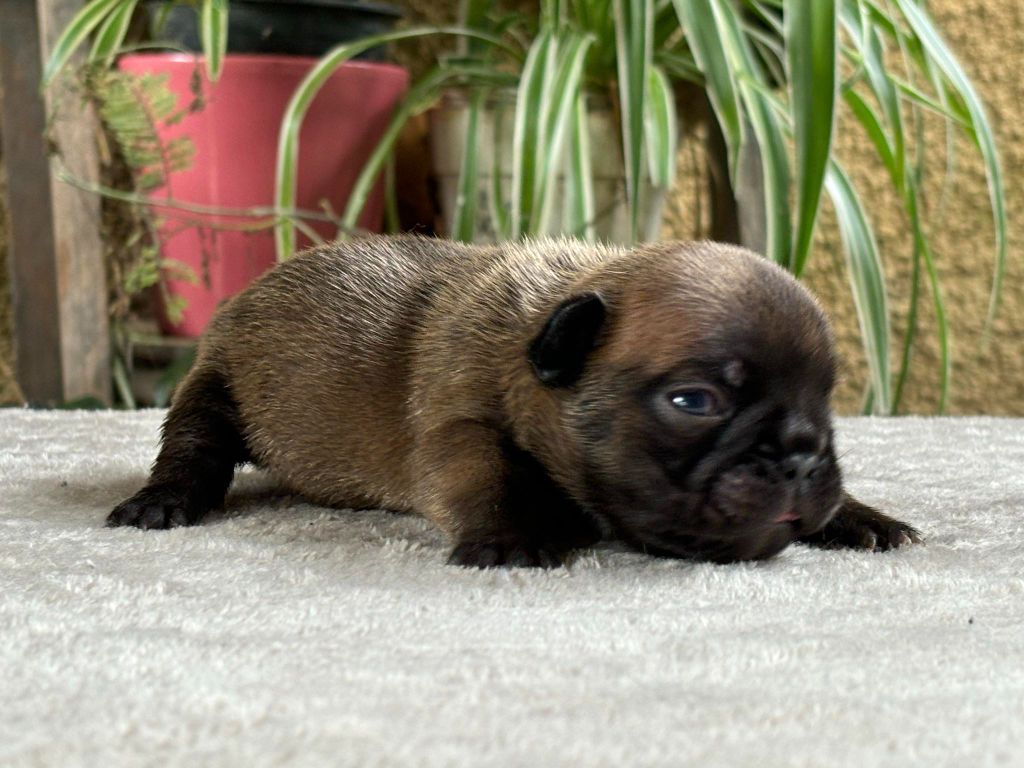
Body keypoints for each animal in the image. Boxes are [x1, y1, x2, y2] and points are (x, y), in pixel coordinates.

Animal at [108, 237, 917, 569]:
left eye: (824, 400)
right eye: (695, 400)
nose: (801, 454)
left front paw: (859, 516)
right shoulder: (460, 425)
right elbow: (484, 476)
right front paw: (509, 537)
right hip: (213, 389)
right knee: (193, 448)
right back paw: (162, 501)